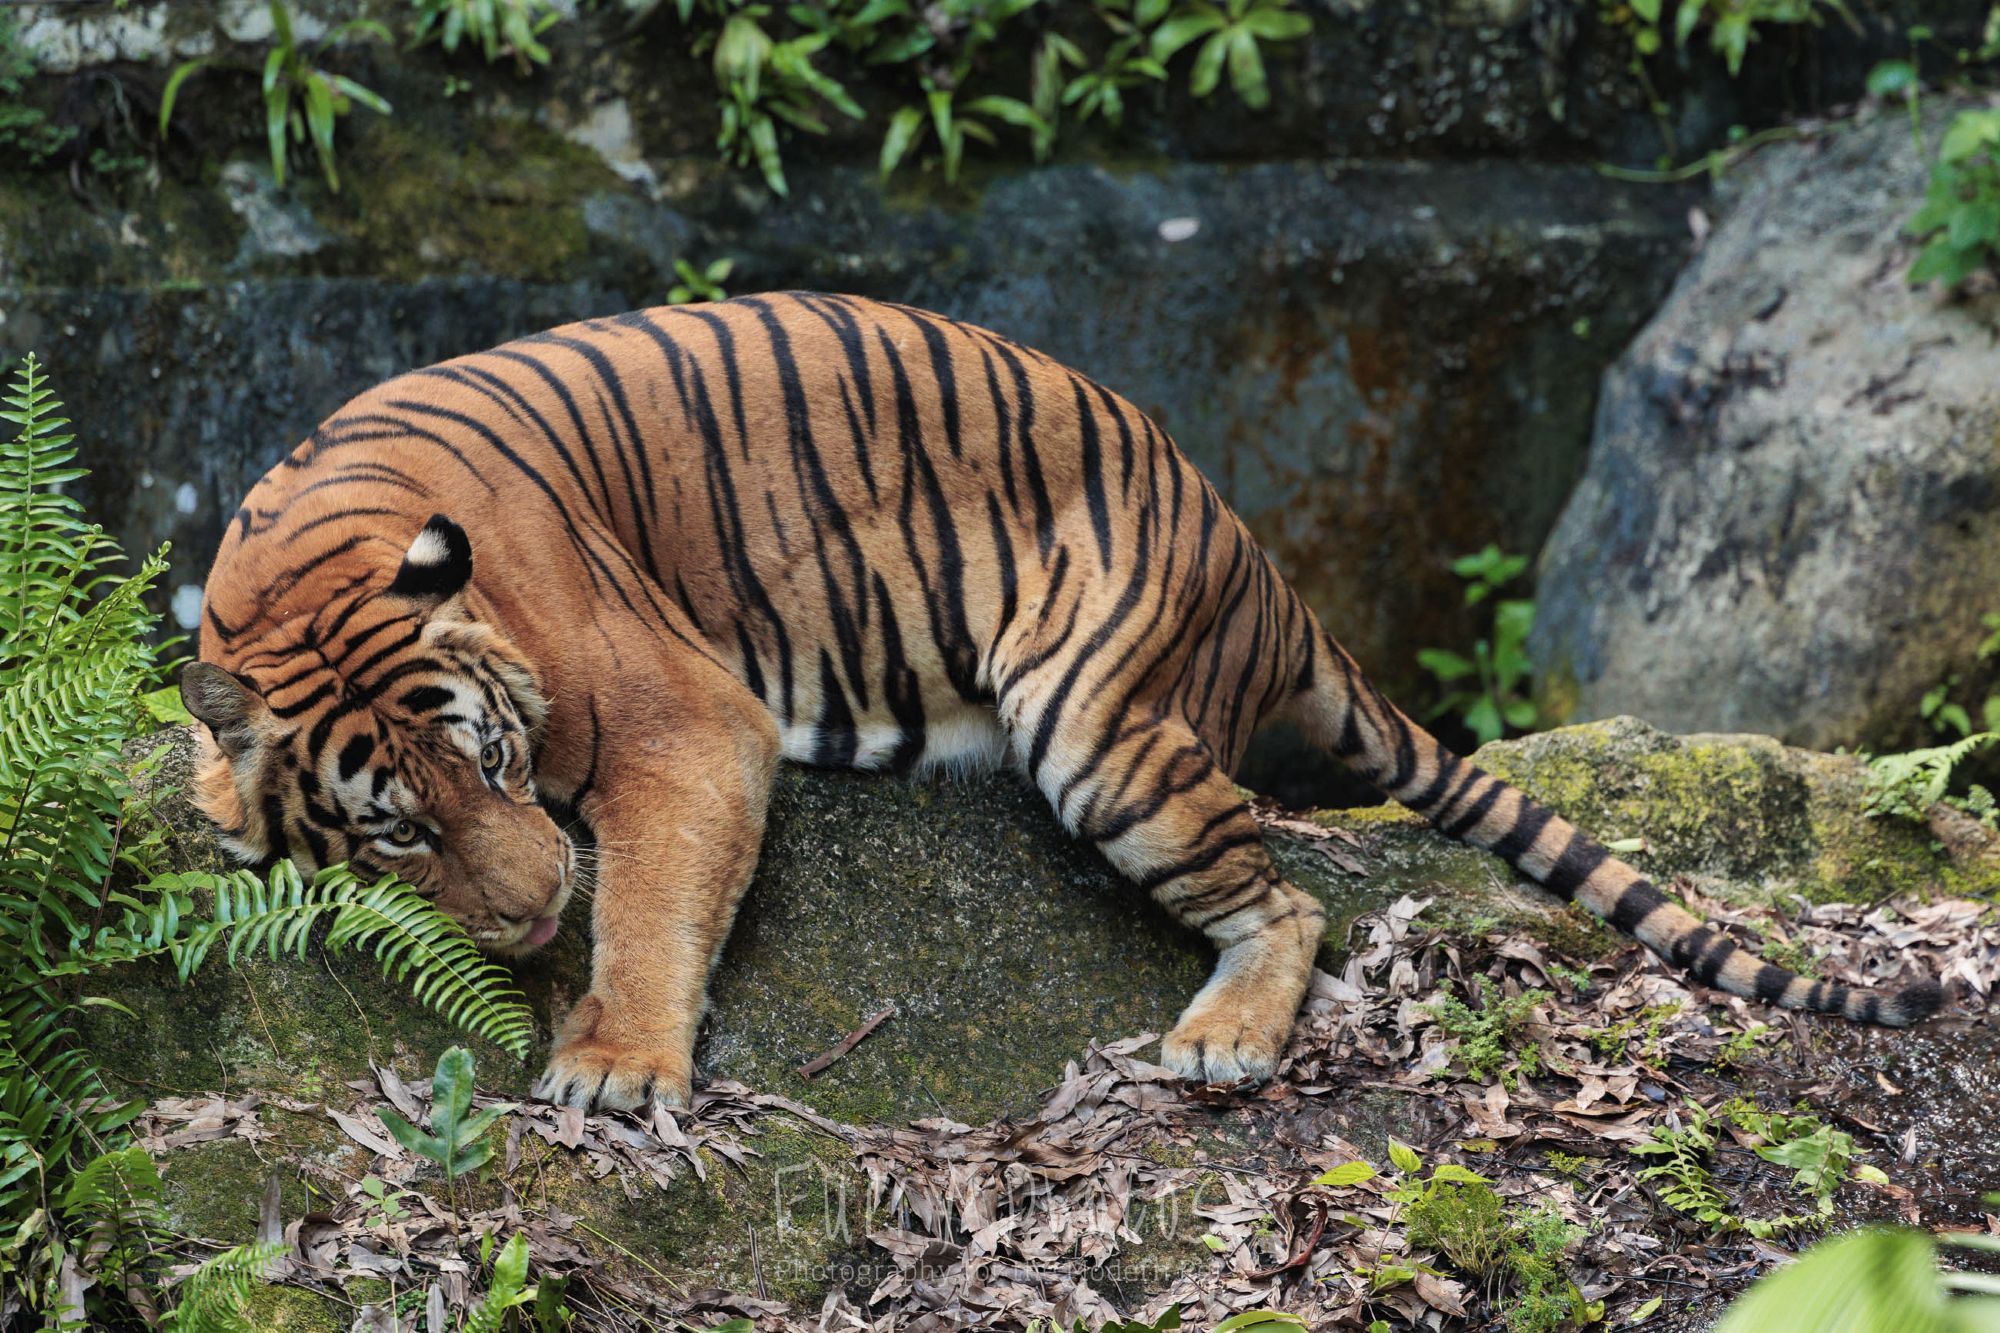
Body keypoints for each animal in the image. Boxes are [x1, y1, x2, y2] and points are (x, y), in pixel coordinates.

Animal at [184, 294, 1936, 1112]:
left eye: (491, 764)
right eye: (395, 832)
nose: (533, 913)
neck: (306, 560)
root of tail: (1256, 556)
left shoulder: (690, 723)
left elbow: (656, 902)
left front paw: (614, 1059)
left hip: (1097, 727)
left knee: (1290, 900)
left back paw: (1220, 1041)